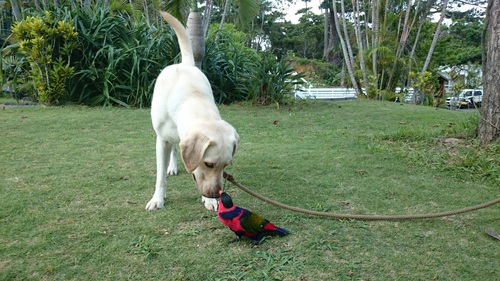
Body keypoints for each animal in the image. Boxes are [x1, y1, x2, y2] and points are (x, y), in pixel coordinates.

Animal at [146, 12, 239, 211]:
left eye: (226, 165)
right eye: (208, 164)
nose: (216, 195)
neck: (192, 99)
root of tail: (184, 63)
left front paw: (209, 201)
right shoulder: (162, 140)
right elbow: (160, 176)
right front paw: (158, 198)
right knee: (174, 149)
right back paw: (172, 167)